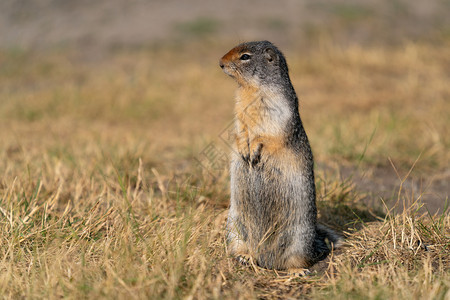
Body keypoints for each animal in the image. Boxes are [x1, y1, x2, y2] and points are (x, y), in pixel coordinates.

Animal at [220, 41, 342, 274]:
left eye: (245, 56)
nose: (220, 63)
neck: (251, 89)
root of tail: (268, 260)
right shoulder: (239, 110)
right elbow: (240, 130)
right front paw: (243, 149)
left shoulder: (278, 108)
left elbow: (269, 134)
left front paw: (254, 149)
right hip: (235, 225)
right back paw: (245, 257)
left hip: (299, 239)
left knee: (298, 259)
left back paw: (297, 271)